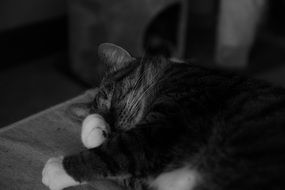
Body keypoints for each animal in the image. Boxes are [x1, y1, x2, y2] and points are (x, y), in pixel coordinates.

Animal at [42, 43, 284, 190]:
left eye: (111, 99)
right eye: (102, 111)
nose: (111, 123)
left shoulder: (167, 127)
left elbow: (112, 153)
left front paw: (56, 169)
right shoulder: (149, 179)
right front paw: (96, 129)